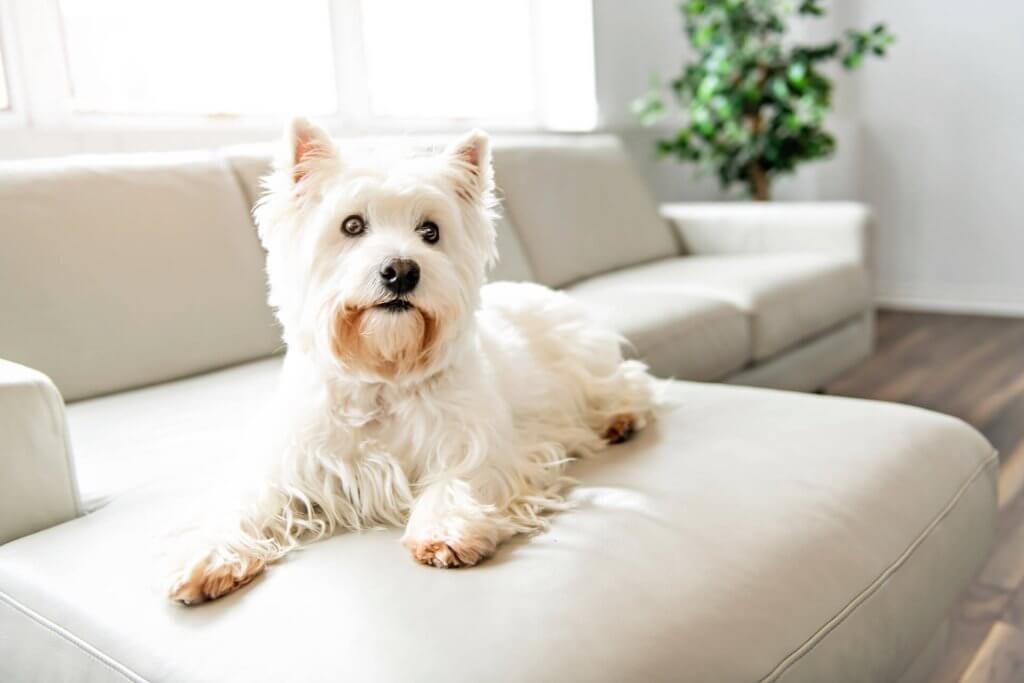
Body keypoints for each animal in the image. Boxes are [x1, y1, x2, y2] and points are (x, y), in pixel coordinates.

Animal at [167, 118, 659, 602]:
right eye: (351, 225)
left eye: (431, 232)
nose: (401, 271)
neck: (382, 376)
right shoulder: (290, 460)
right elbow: (246, 501)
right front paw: (209, 555)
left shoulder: (480, 445)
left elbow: (458, 478)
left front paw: (445, 532)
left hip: (583, 366)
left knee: (632, 382)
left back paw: (620, 419)